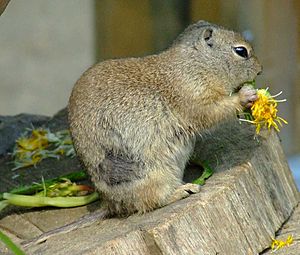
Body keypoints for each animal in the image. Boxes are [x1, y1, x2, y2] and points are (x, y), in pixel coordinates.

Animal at [24, 20, 262, 245]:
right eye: (241, 51)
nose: (260, 70)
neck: (195, 63)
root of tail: (110, 205)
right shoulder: (195, 99)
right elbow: (213, 112)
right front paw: (247, 95)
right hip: (156, 176)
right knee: (152, 202)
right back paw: (184, 190)